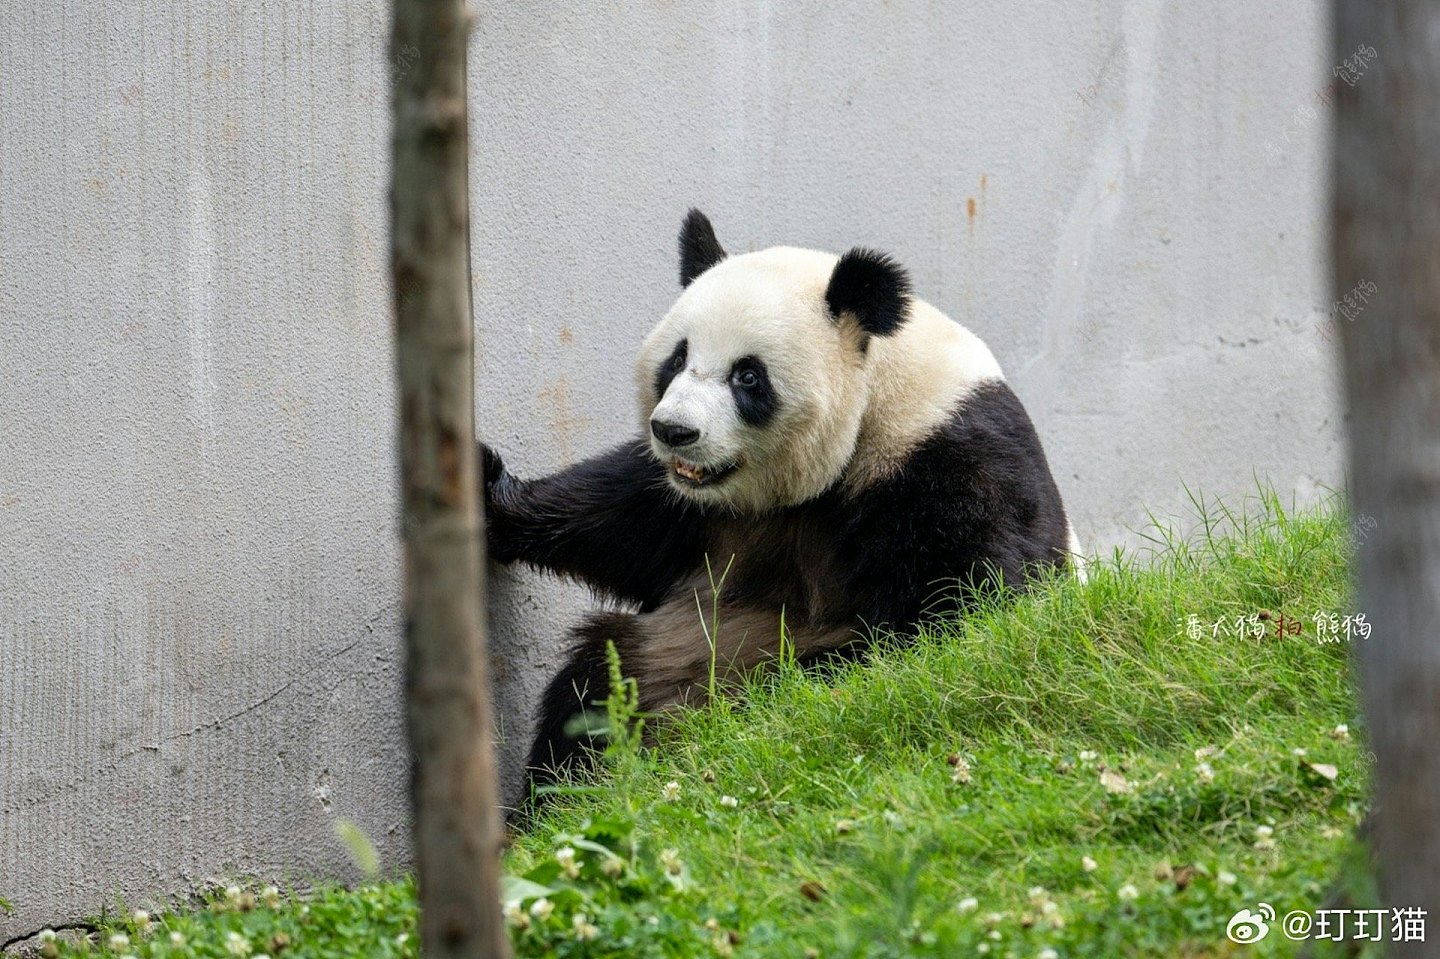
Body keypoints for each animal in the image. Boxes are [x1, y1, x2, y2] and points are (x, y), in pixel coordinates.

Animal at [486, 211, 1082, 806]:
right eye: (677, 359)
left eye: (747, 375)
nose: (673, 431)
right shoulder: (700, 508)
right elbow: (618, 519)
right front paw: (492, 496)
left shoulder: (949, 461)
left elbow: (970, 607)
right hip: (661, 647)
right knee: (593, 691)